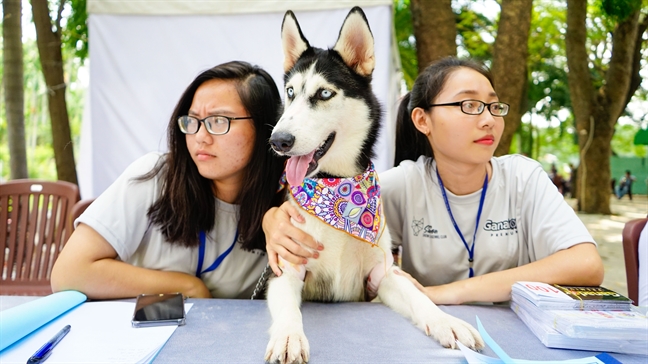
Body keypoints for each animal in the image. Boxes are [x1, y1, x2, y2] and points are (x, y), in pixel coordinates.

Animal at [266, 7, 484, 362]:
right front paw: (288, 336)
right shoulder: (286, 270)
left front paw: (447, 322)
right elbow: (288, 309)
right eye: (290, 93)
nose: (278, 141)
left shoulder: (382, 275)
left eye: (324, 93)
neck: (337, 187)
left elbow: (419, 297)